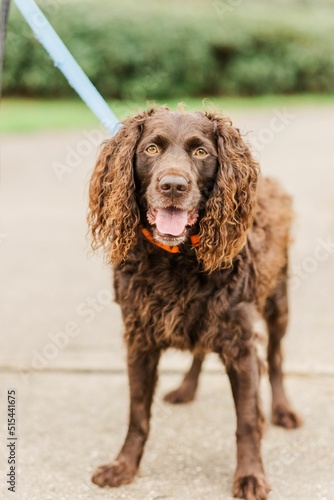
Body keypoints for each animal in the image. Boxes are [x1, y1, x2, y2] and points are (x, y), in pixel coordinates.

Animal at [87, 107, 302, 498]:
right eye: (151, 149)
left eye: (201, 152)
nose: (173, 186)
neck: (176, 258)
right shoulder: (139, 340)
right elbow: (137, 414)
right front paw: (124, 466)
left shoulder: (241, 344)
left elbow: (247, 420)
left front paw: (250, 476)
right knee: (201, 352)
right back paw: (186, 388)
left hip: (278, 302)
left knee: (276, 359)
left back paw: (282, 411)